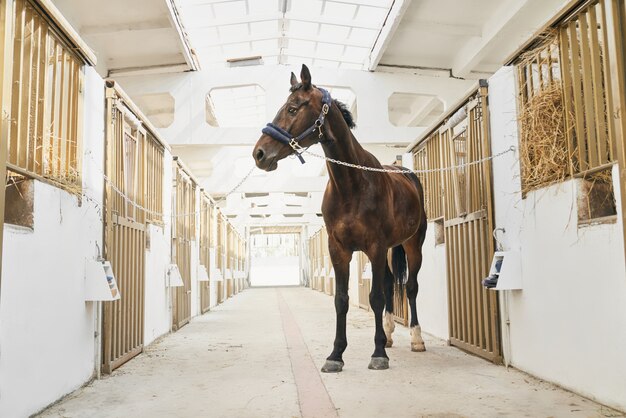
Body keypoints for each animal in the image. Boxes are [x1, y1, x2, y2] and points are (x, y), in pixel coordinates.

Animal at [251, 63, 426, 370]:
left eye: (293, 108)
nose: (259, 154)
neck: (351, 184)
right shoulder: (339, 249)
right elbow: (342, 299)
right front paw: (336, 354)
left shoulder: (375, 247)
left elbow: (376, 296)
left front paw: (377, 354)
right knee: (391, 281)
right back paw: (389, 334)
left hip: (412, 244)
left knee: (411, 286)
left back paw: (415, 338)